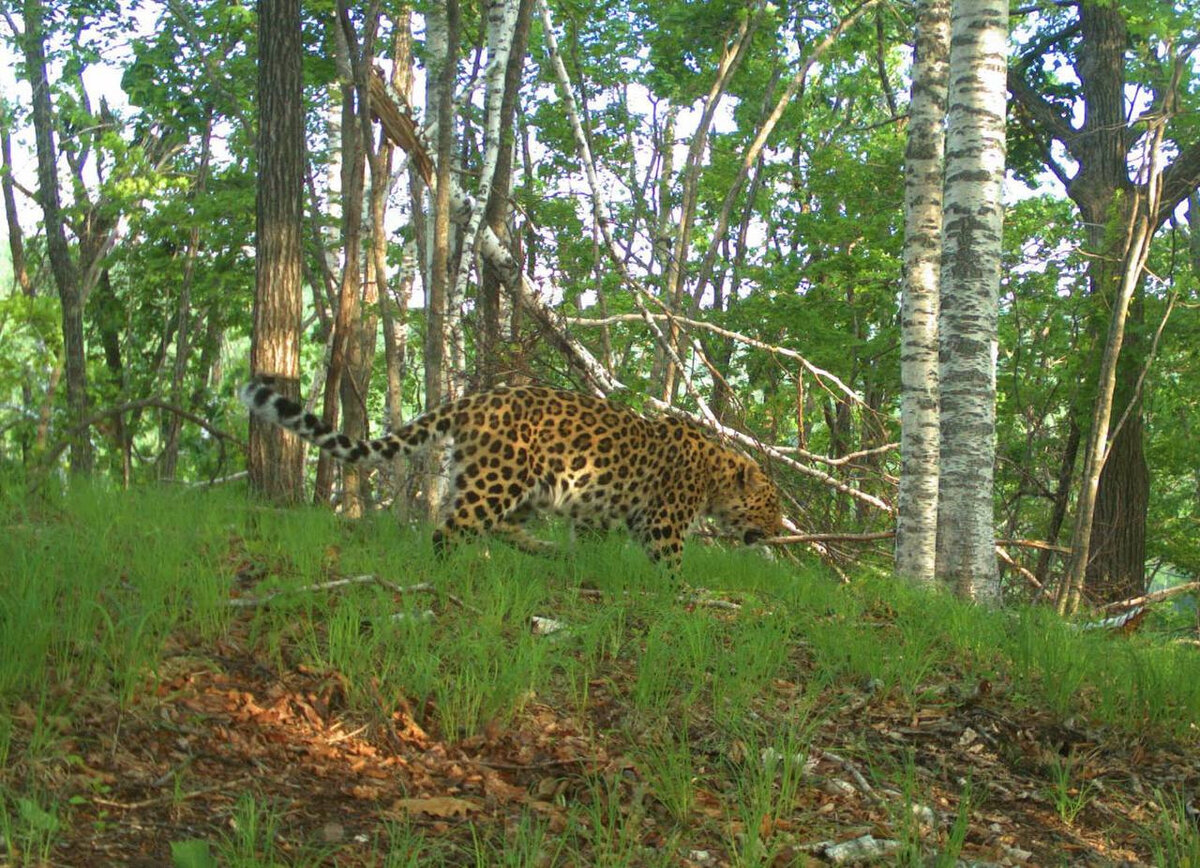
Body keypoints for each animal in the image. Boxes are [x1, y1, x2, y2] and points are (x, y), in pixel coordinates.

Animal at [238, 376, 782, 573]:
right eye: (772, 506)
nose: (777, 532)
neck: (715, 475)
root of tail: (472, 400)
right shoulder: (664, 522)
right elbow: (670, 564)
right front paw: (682, 592)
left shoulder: (599, 513)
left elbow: (591, 540)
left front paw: (585, 565)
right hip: (498, 480)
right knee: (451, 529)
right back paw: (445, 571)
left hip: (521, 486)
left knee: (499, 527)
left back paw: (544, 550)